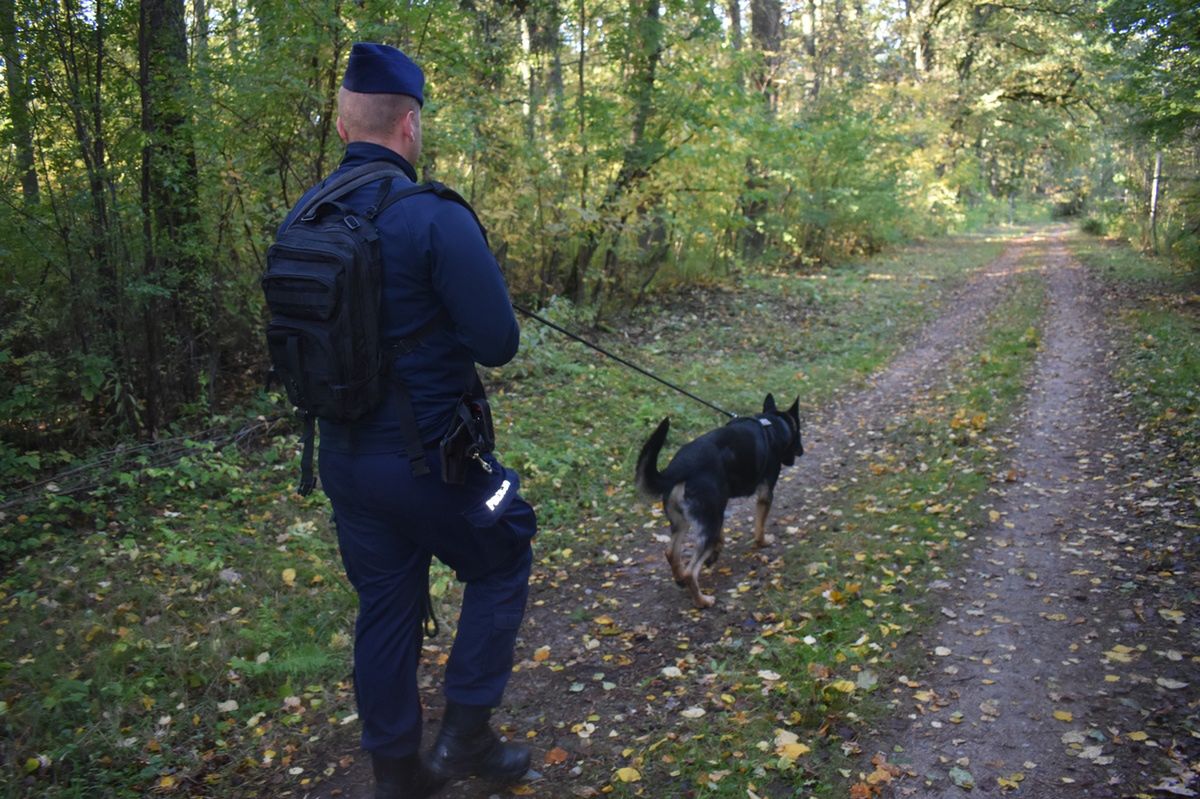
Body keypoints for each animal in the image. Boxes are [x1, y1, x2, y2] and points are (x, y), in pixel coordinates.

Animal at [633, 395, 801, 607]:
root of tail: (679, 468)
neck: (772, 424)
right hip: (707, 521)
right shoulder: (765, 494)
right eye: (799, 431)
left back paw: (680, 579)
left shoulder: (719, 506)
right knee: (691, 572)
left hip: (686, 522)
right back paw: (702, 601)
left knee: (671, 553)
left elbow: (721, 536)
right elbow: (759, 527)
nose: (802, 451)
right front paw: (763, 542)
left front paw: (717, 551)